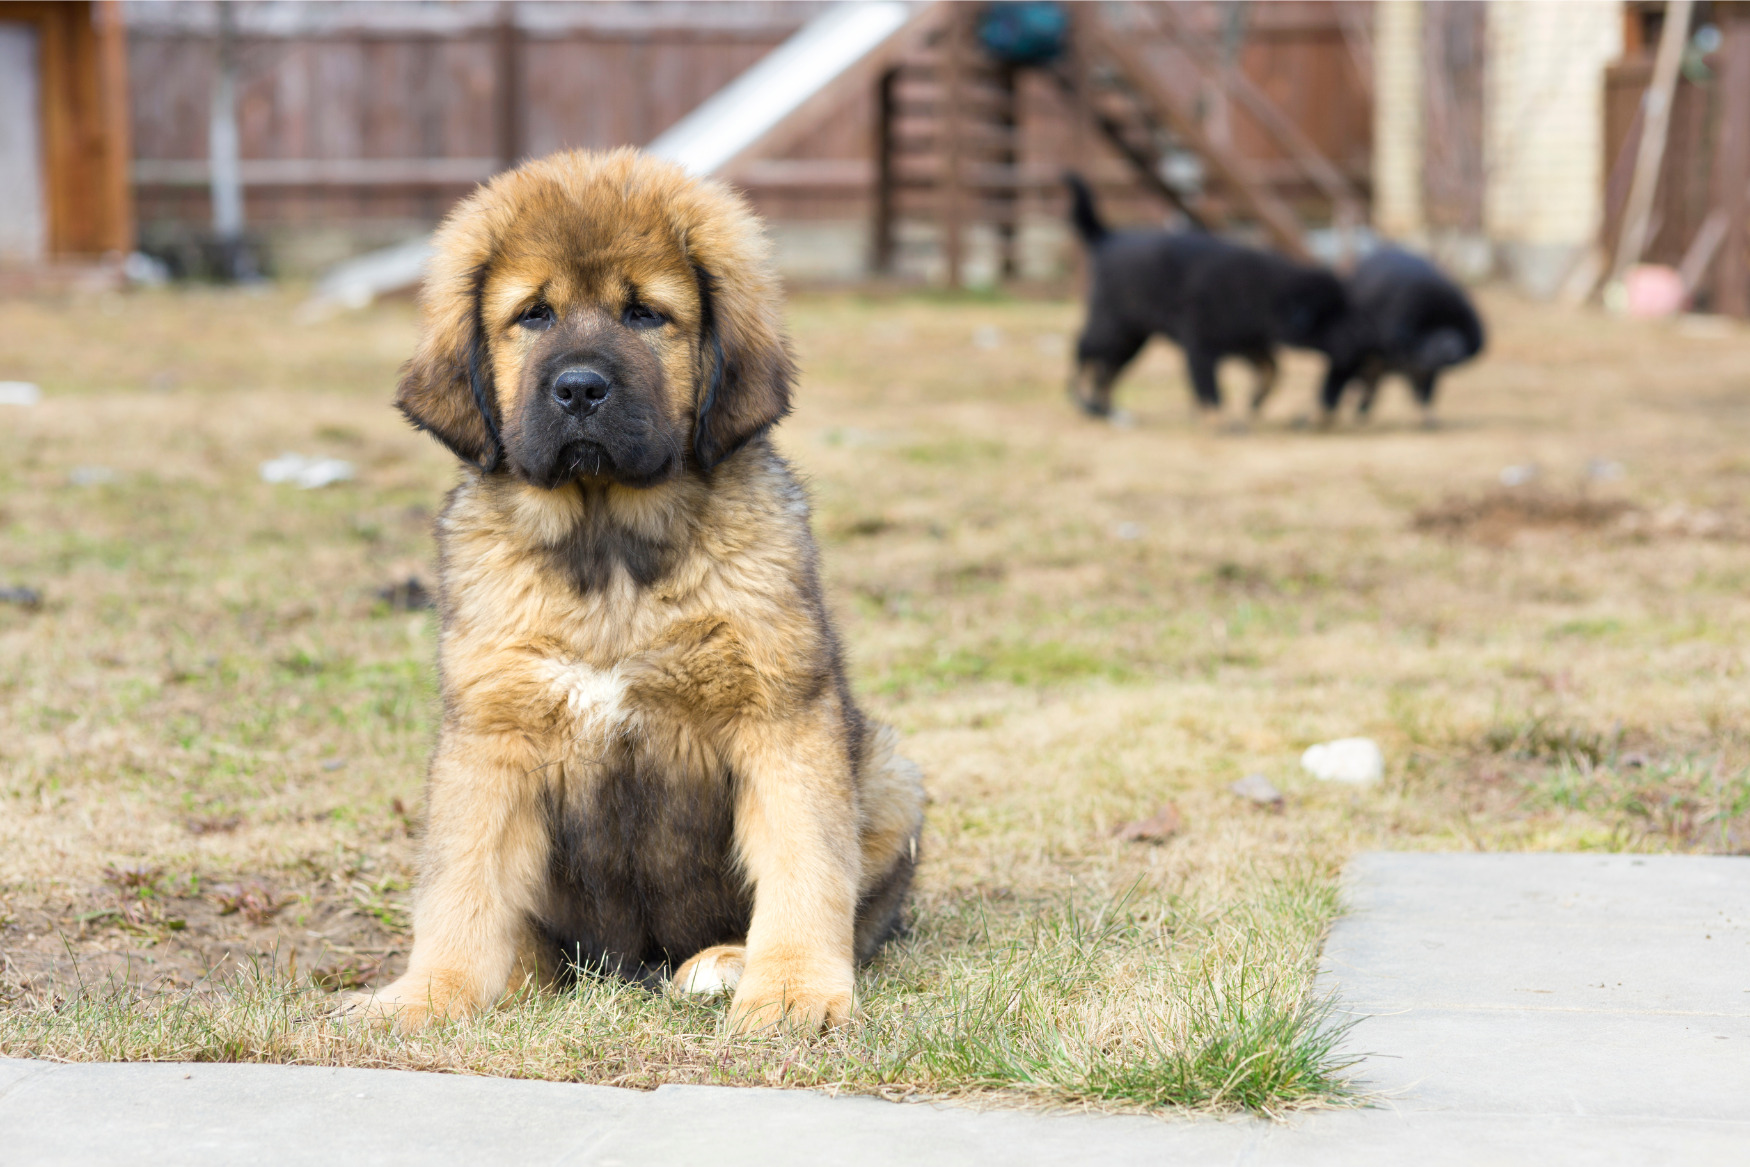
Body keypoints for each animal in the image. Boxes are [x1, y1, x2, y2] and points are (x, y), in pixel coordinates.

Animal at [348, 150, 938, 1035]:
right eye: (534, 315)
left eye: (645, 314)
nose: (580, 389)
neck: (609, 555)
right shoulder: (491, 731)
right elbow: (462, 884)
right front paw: (429, 993)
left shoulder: (781, 713)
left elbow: (803, 864)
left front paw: (791, 990)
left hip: (891, 776)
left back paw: (724, 960)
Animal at [1064, 175, 1337, 421]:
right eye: (1335, 315)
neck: (1264, 292)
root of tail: (1107, 237)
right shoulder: (1201, 345)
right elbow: (1210, 387)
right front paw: (1219, 421)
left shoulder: (1246, 343)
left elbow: (1271, 369)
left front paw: (1255, 401)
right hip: (1113, 329)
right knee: (1084, 349)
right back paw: (1083, 399)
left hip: (1132, 339)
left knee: (1106, 371)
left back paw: (1104, 410)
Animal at [1316, 246, 1484, 428]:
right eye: (1428, 326)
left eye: (1455, 326)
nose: (1450, 346)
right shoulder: (1354, 351)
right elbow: (1337, 379)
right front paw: (1326, 415)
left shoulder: (1424, 370)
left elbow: (1424, 392)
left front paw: (1429, 420)